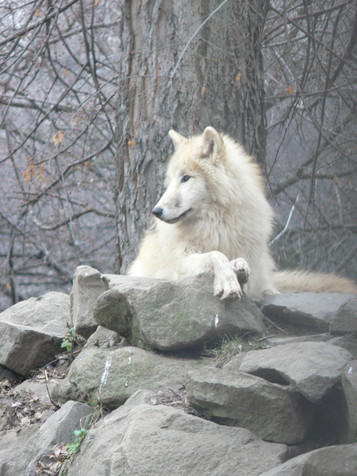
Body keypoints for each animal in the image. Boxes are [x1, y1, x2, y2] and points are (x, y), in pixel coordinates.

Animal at [128, 125, 356, 298]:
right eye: (169, 182)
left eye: (185, 178)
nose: (156, 211)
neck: (217, 223)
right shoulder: (179, 262)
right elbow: (216, 255)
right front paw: (229, 282)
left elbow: (238, 260)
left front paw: (239, 268)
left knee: (269, 288)